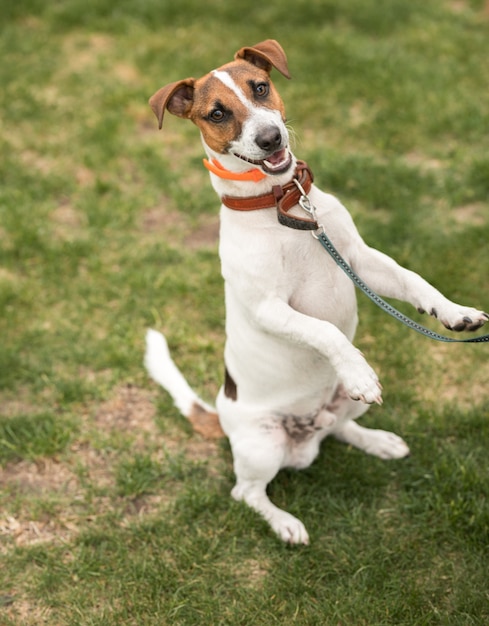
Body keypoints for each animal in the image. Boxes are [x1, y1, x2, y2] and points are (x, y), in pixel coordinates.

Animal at [143, 39, 486, 540]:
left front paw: (454, 312)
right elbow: (328, 332)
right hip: (262, 445)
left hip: (339, 407)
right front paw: (358, 371)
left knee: (338, 429)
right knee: (246, 492)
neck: (282, 205)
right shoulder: (270, 307)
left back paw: (378, 442)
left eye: (260, 87)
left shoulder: (360, 259)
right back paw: (284, 523)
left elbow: (412, 279)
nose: (271, 139)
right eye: (217, 113)